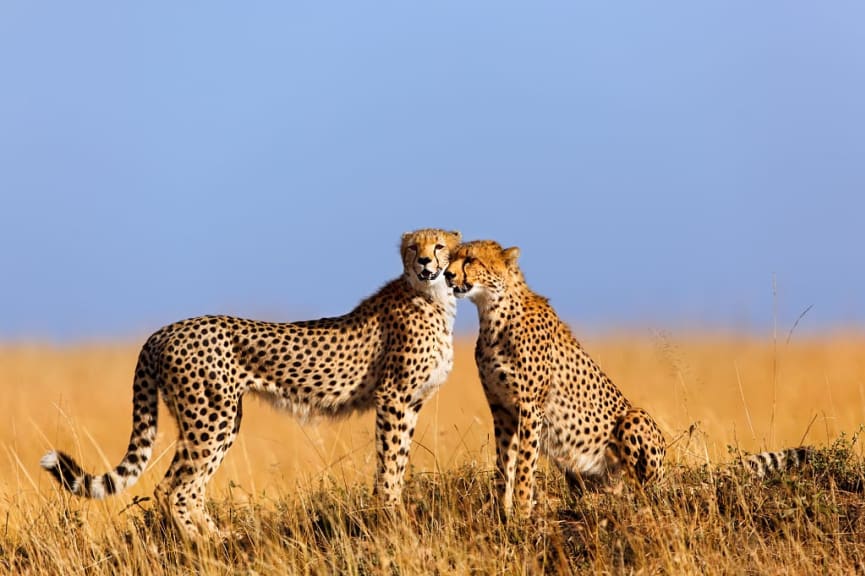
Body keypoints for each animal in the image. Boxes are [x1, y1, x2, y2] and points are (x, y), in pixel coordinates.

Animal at [42, 226, 460, 536]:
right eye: (413, 247)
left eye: (439, 245)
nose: (425, 261)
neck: (434, 297)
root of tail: (165, 330)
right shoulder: (394, 398)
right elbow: (390, 464)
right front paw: (392, 518)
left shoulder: (410, 403)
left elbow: (399, 460)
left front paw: (392, 513)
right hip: (211, 419)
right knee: (173, 488)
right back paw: (202, 545)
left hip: (216, 421)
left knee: (189, 487)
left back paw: (218, 536)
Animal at [442, 238, 664, 516]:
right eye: (451, 258)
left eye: (471, 259)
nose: (447, 274)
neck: (493, 313)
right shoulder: (501, 409)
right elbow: (505, 465)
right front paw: (503, 512)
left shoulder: (529, 408)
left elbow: (525, 466)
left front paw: (522, 513)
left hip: (635, 419)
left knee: (641, 491)